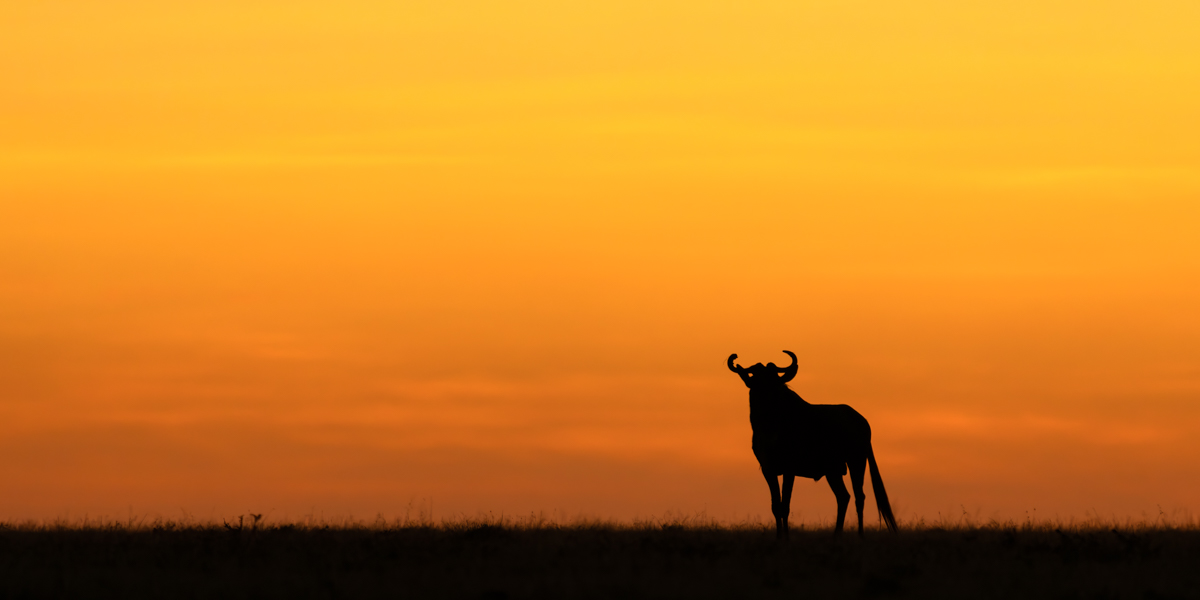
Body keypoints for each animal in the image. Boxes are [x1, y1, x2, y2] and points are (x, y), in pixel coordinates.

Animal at [728, 351, 898, 539]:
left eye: (775, 379)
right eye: (756, 378)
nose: (767, 395)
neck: (770, 426)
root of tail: (862, 421)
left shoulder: (789, 469)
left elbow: (785, 506)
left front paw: (787, 539)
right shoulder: (768, 469)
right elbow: (776, 506)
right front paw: (779, 538)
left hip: (857, 461)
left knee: (859, 497)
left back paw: (860, 536)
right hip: (833, 471)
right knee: (843, 497)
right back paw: (835, 536)